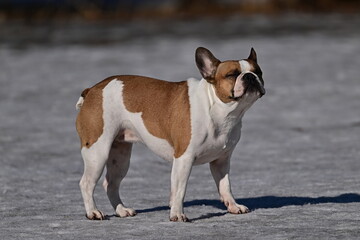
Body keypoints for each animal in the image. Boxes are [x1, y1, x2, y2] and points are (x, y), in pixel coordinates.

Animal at [75, 46, 264, 221]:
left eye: (258, 72)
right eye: (232, 74)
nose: (250, 76)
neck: (216, 108)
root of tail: (92, 90)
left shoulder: (222, 161)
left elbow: (225, 186)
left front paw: (233, 206)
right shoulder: (184, 158)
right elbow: (180, 189)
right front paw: (177, 214)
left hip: (120, 157)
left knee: (111, 184)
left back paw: (121, 210)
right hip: (97, 151)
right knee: (86, 183)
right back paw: (93, 212)